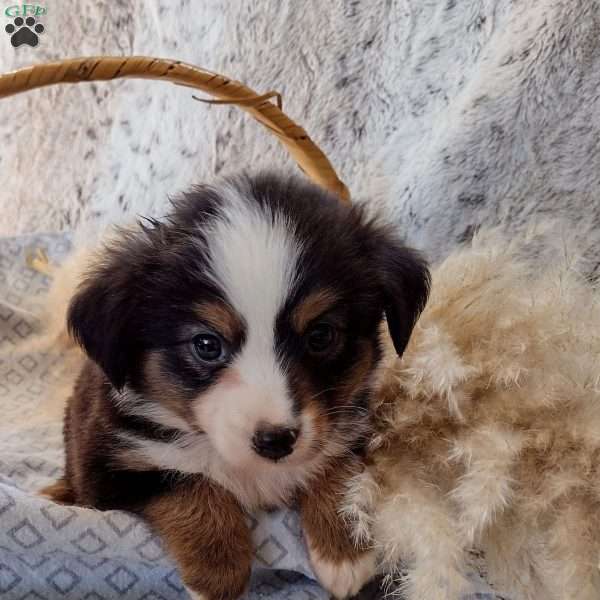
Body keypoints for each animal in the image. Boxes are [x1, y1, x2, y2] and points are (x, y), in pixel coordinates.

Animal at [42, 173, 428, 600]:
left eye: (321, 335)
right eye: (207, 344)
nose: (275, 441)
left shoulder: (352, 426)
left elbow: (339, 466)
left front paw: (343, 551)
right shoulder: (111, 466)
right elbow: (191, 485)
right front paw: (219, 574)